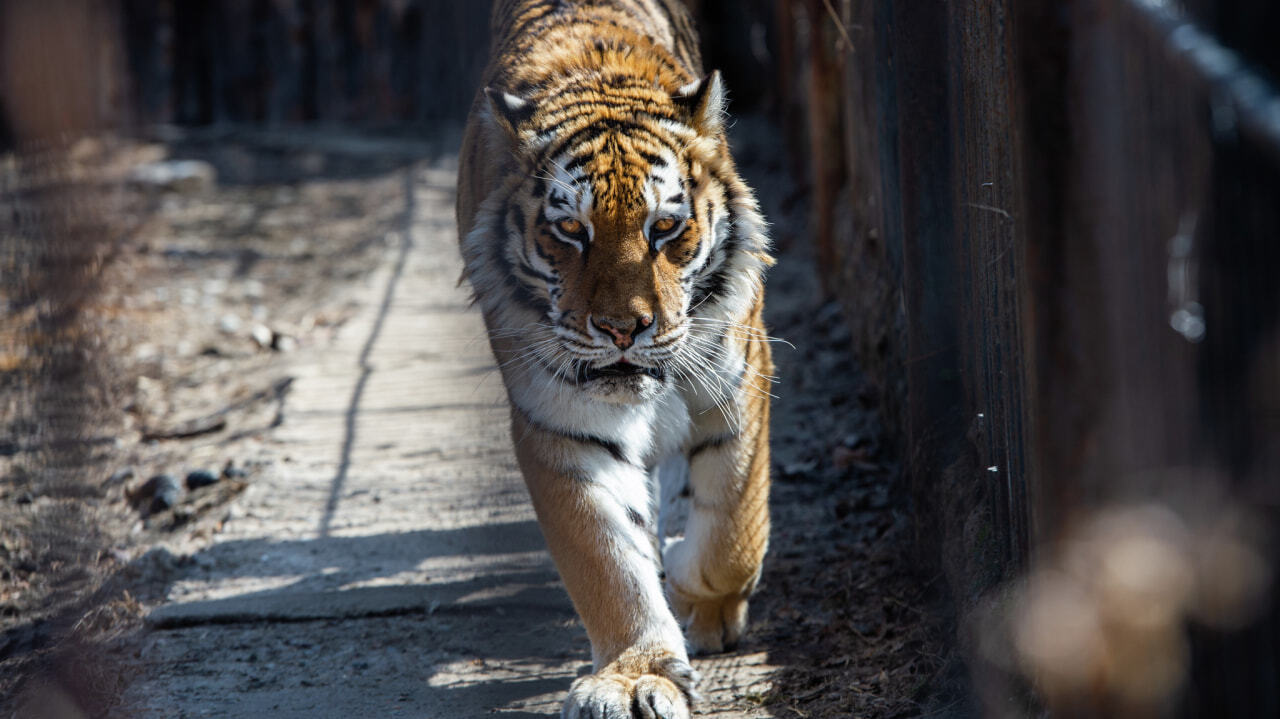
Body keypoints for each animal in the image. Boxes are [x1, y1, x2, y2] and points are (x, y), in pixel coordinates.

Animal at [458, 2, 773, 711]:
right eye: (571, 231)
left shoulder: (738, 381)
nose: (622, 328)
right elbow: (606, 558)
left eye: (666, 228)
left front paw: (701, 603)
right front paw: (635, 677)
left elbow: (734, 528)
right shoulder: (563, 423)